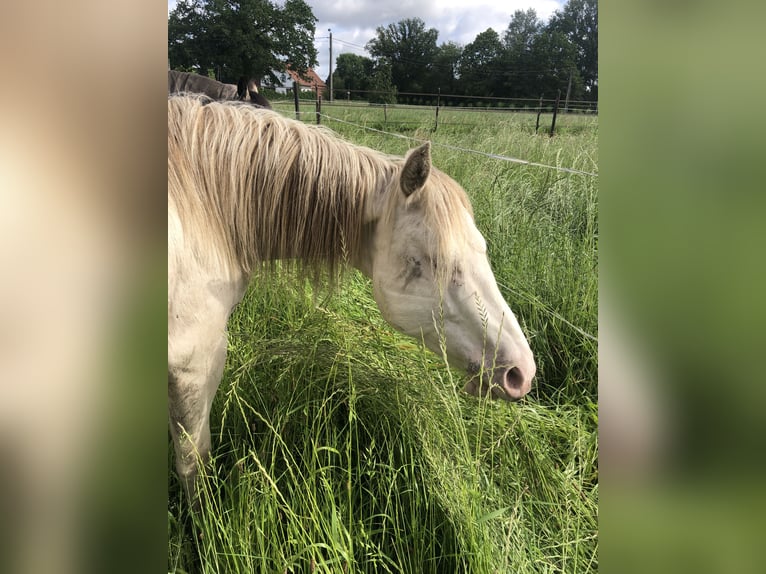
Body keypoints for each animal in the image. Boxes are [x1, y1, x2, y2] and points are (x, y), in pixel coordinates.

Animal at [168, 95, 540, 504]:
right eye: (434, 262)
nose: (521, 373)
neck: (204, 208)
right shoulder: (194, 367)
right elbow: (193, 462)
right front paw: (203, 517)